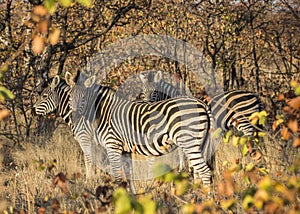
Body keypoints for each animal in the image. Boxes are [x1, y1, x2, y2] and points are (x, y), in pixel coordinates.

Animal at [34, 72, 213, 187]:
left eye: (44, 96)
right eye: (71, 96)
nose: (34, 109)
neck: (102, 113)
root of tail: (202, 104)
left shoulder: (104, 143)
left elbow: (103, 168)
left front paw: (94, 184)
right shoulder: (121, 149)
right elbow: (126, 173)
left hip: (188, 141)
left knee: (204, 171)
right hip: (199, 143)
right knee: (199, 169)